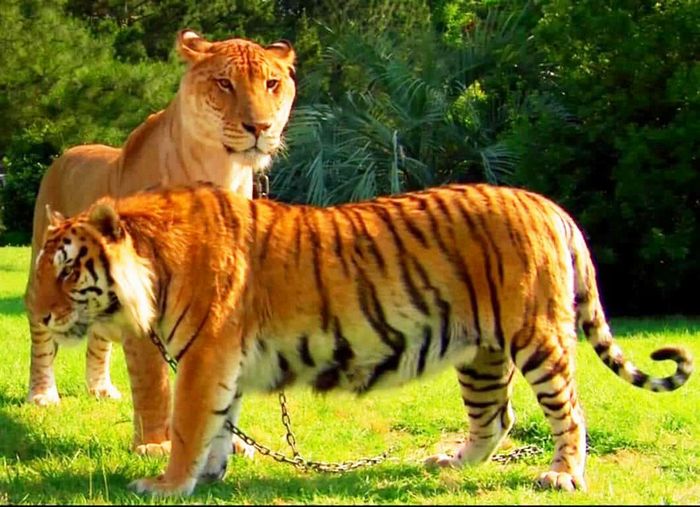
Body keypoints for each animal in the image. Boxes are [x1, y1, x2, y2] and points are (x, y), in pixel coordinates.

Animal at [23, 29, 296, 457]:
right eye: (224, 83)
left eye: (272, 83)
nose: (260, 126)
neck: (221, 171)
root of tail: (70, 151)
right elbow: (152, 376)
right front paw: (154, 444)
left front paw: (228, 443)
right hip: (43, 268)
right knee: (40, 334)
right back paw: (42, 394)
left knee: (99, 338)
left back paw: (101, 389)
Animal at [27, 181, 692, 496]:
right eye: (41, 268)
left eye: (66, 269)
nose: (36, 312)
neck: (152, 263)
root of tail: (551, 207)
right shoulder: (221, 361)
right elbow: (219, 423)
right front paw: (209, 476)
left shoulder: (205, 355)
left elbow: (190, 424)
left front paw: (165, 484)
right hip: (480, 352)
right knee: (496, 418)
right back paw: (450, 462)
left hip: (539, 338)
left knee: (569, 411)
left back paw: (562, 475)